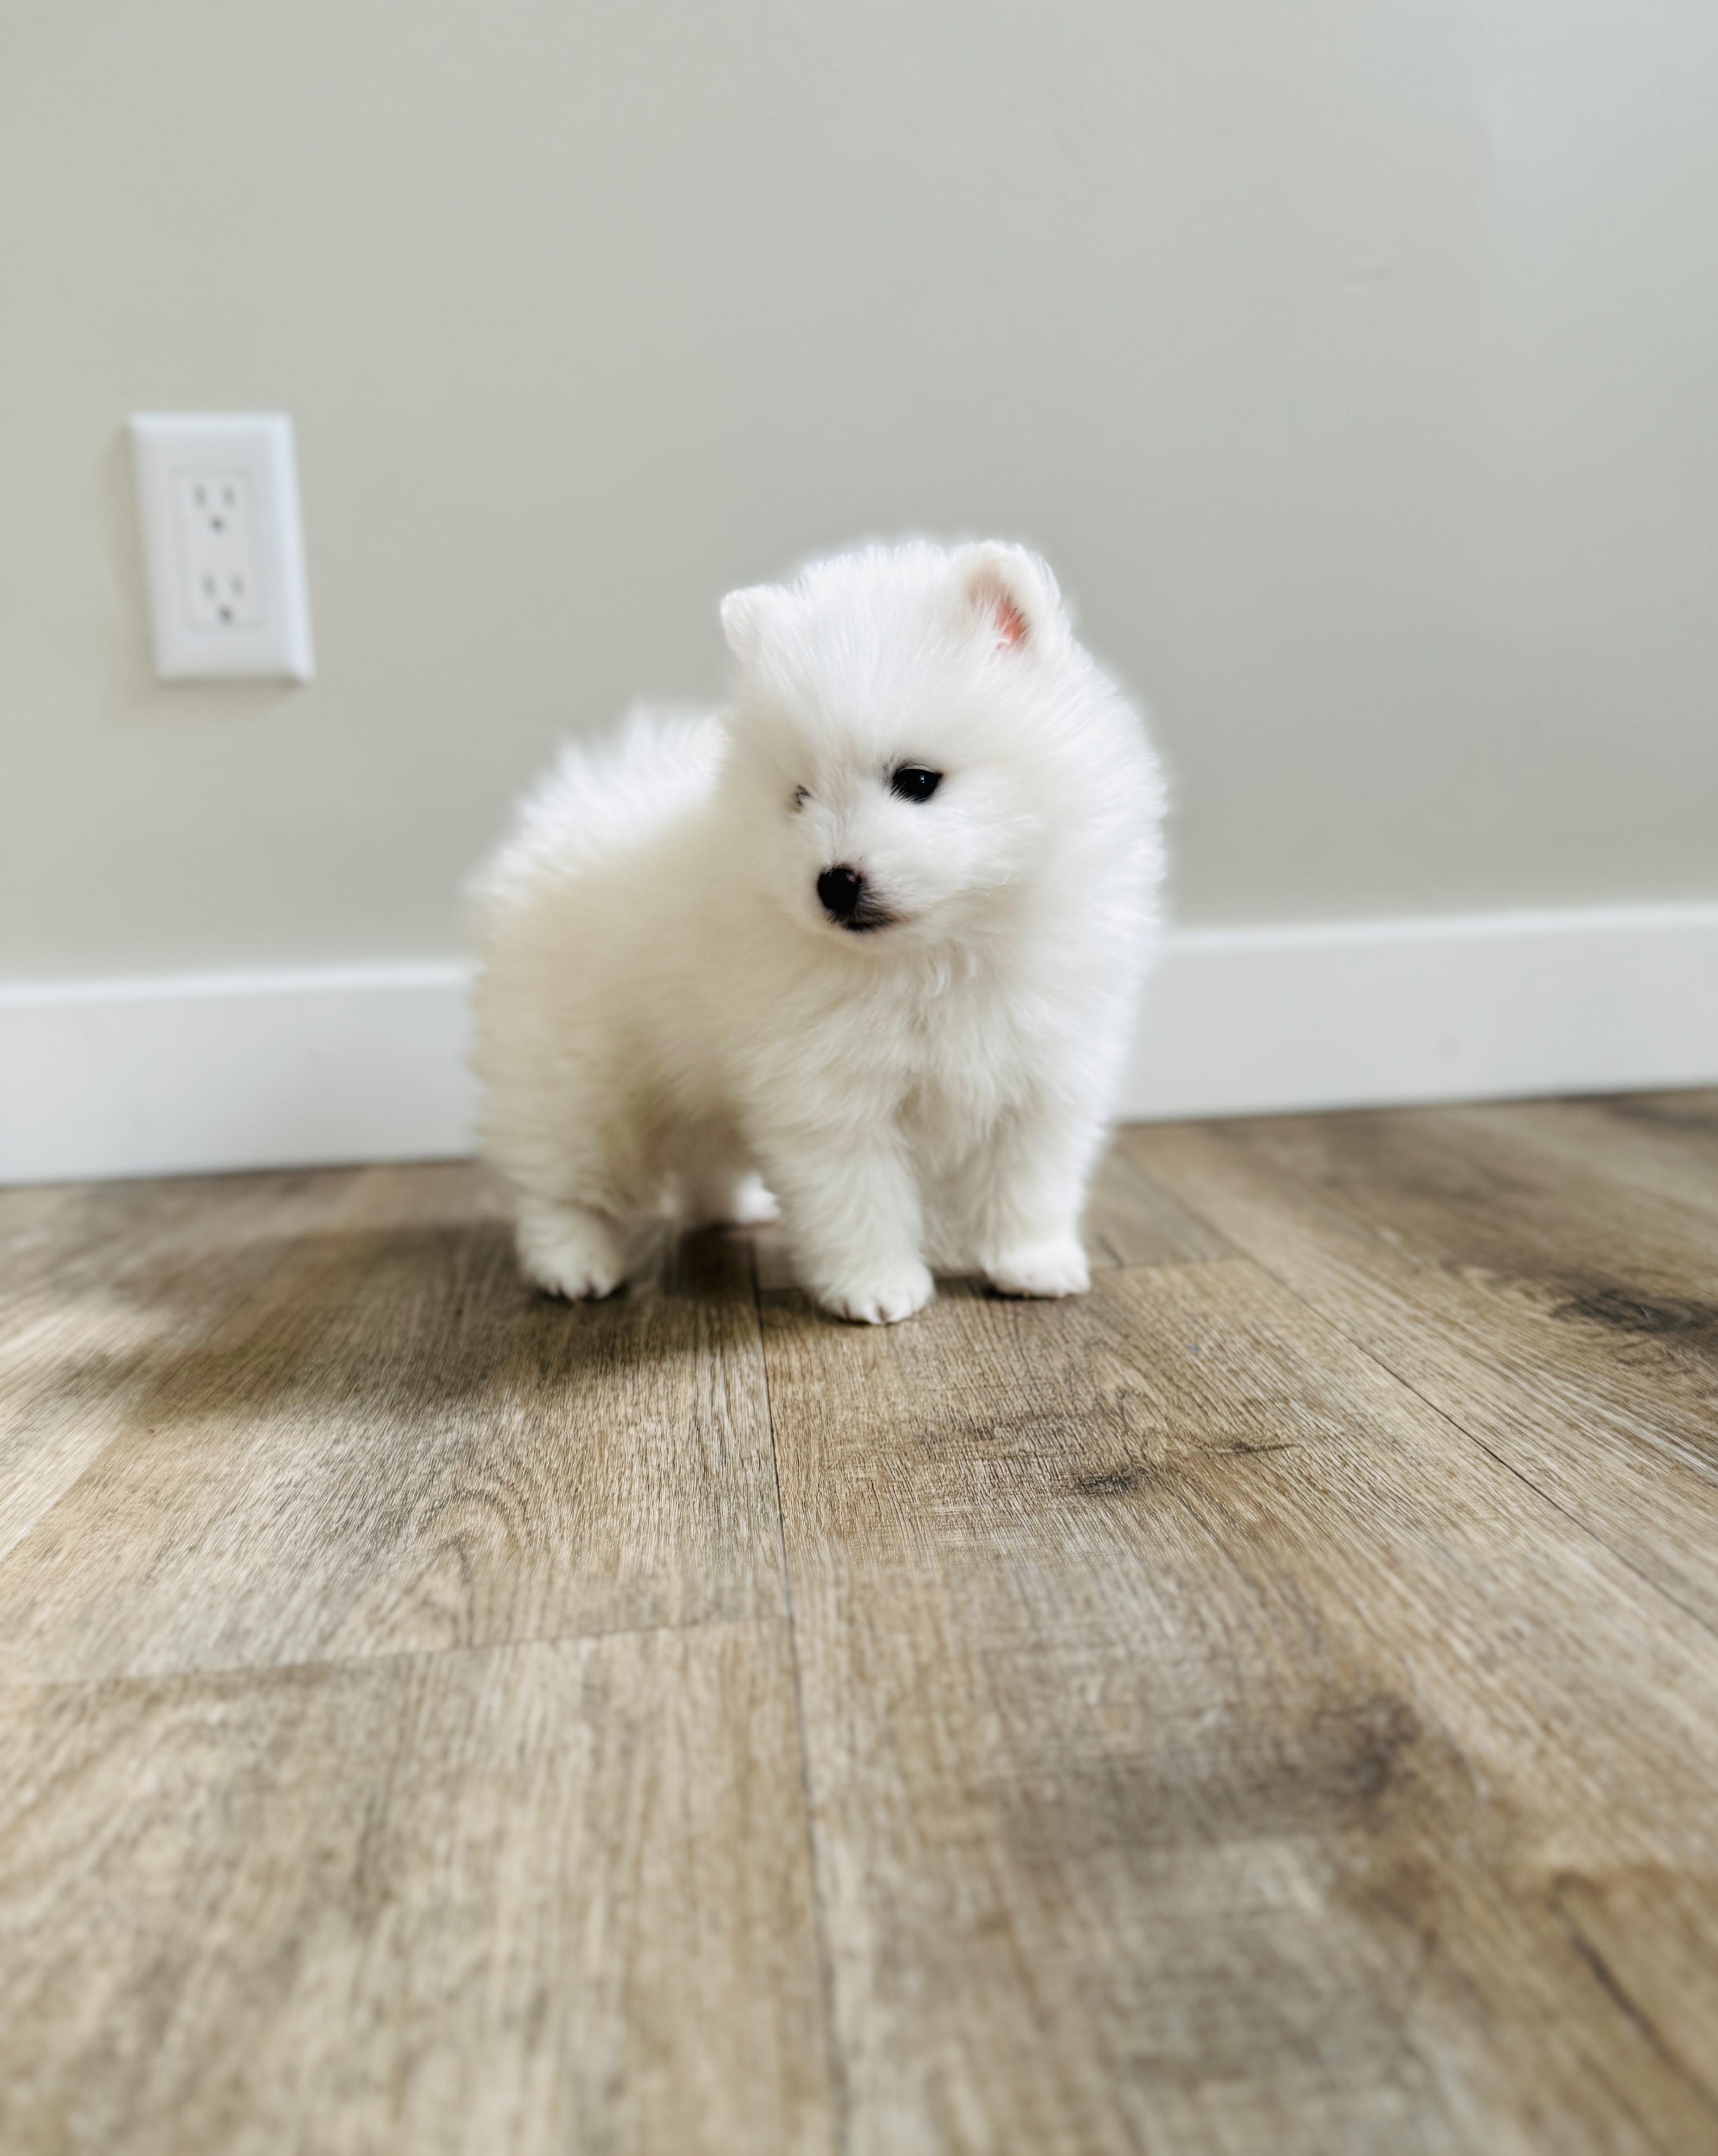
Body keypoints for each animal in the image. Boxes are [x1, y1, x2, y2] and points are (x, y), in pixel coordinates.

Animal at [471, 538, 1165, 1323]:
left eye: (916, 780)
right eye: (799, 797)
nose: (833, 881)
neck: (934, 955)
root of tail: (570, 808)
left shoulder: (1044, 1071)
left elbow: (1029, 1180)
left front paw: (1033, 1261)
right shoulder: (826, 1086)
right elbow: (857, 1193)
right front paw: (876, 1285)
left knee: (703, 1149)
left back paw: (730, 1207)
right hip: (577, 1073)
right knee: (560, 1176)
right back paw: (573, 1263)